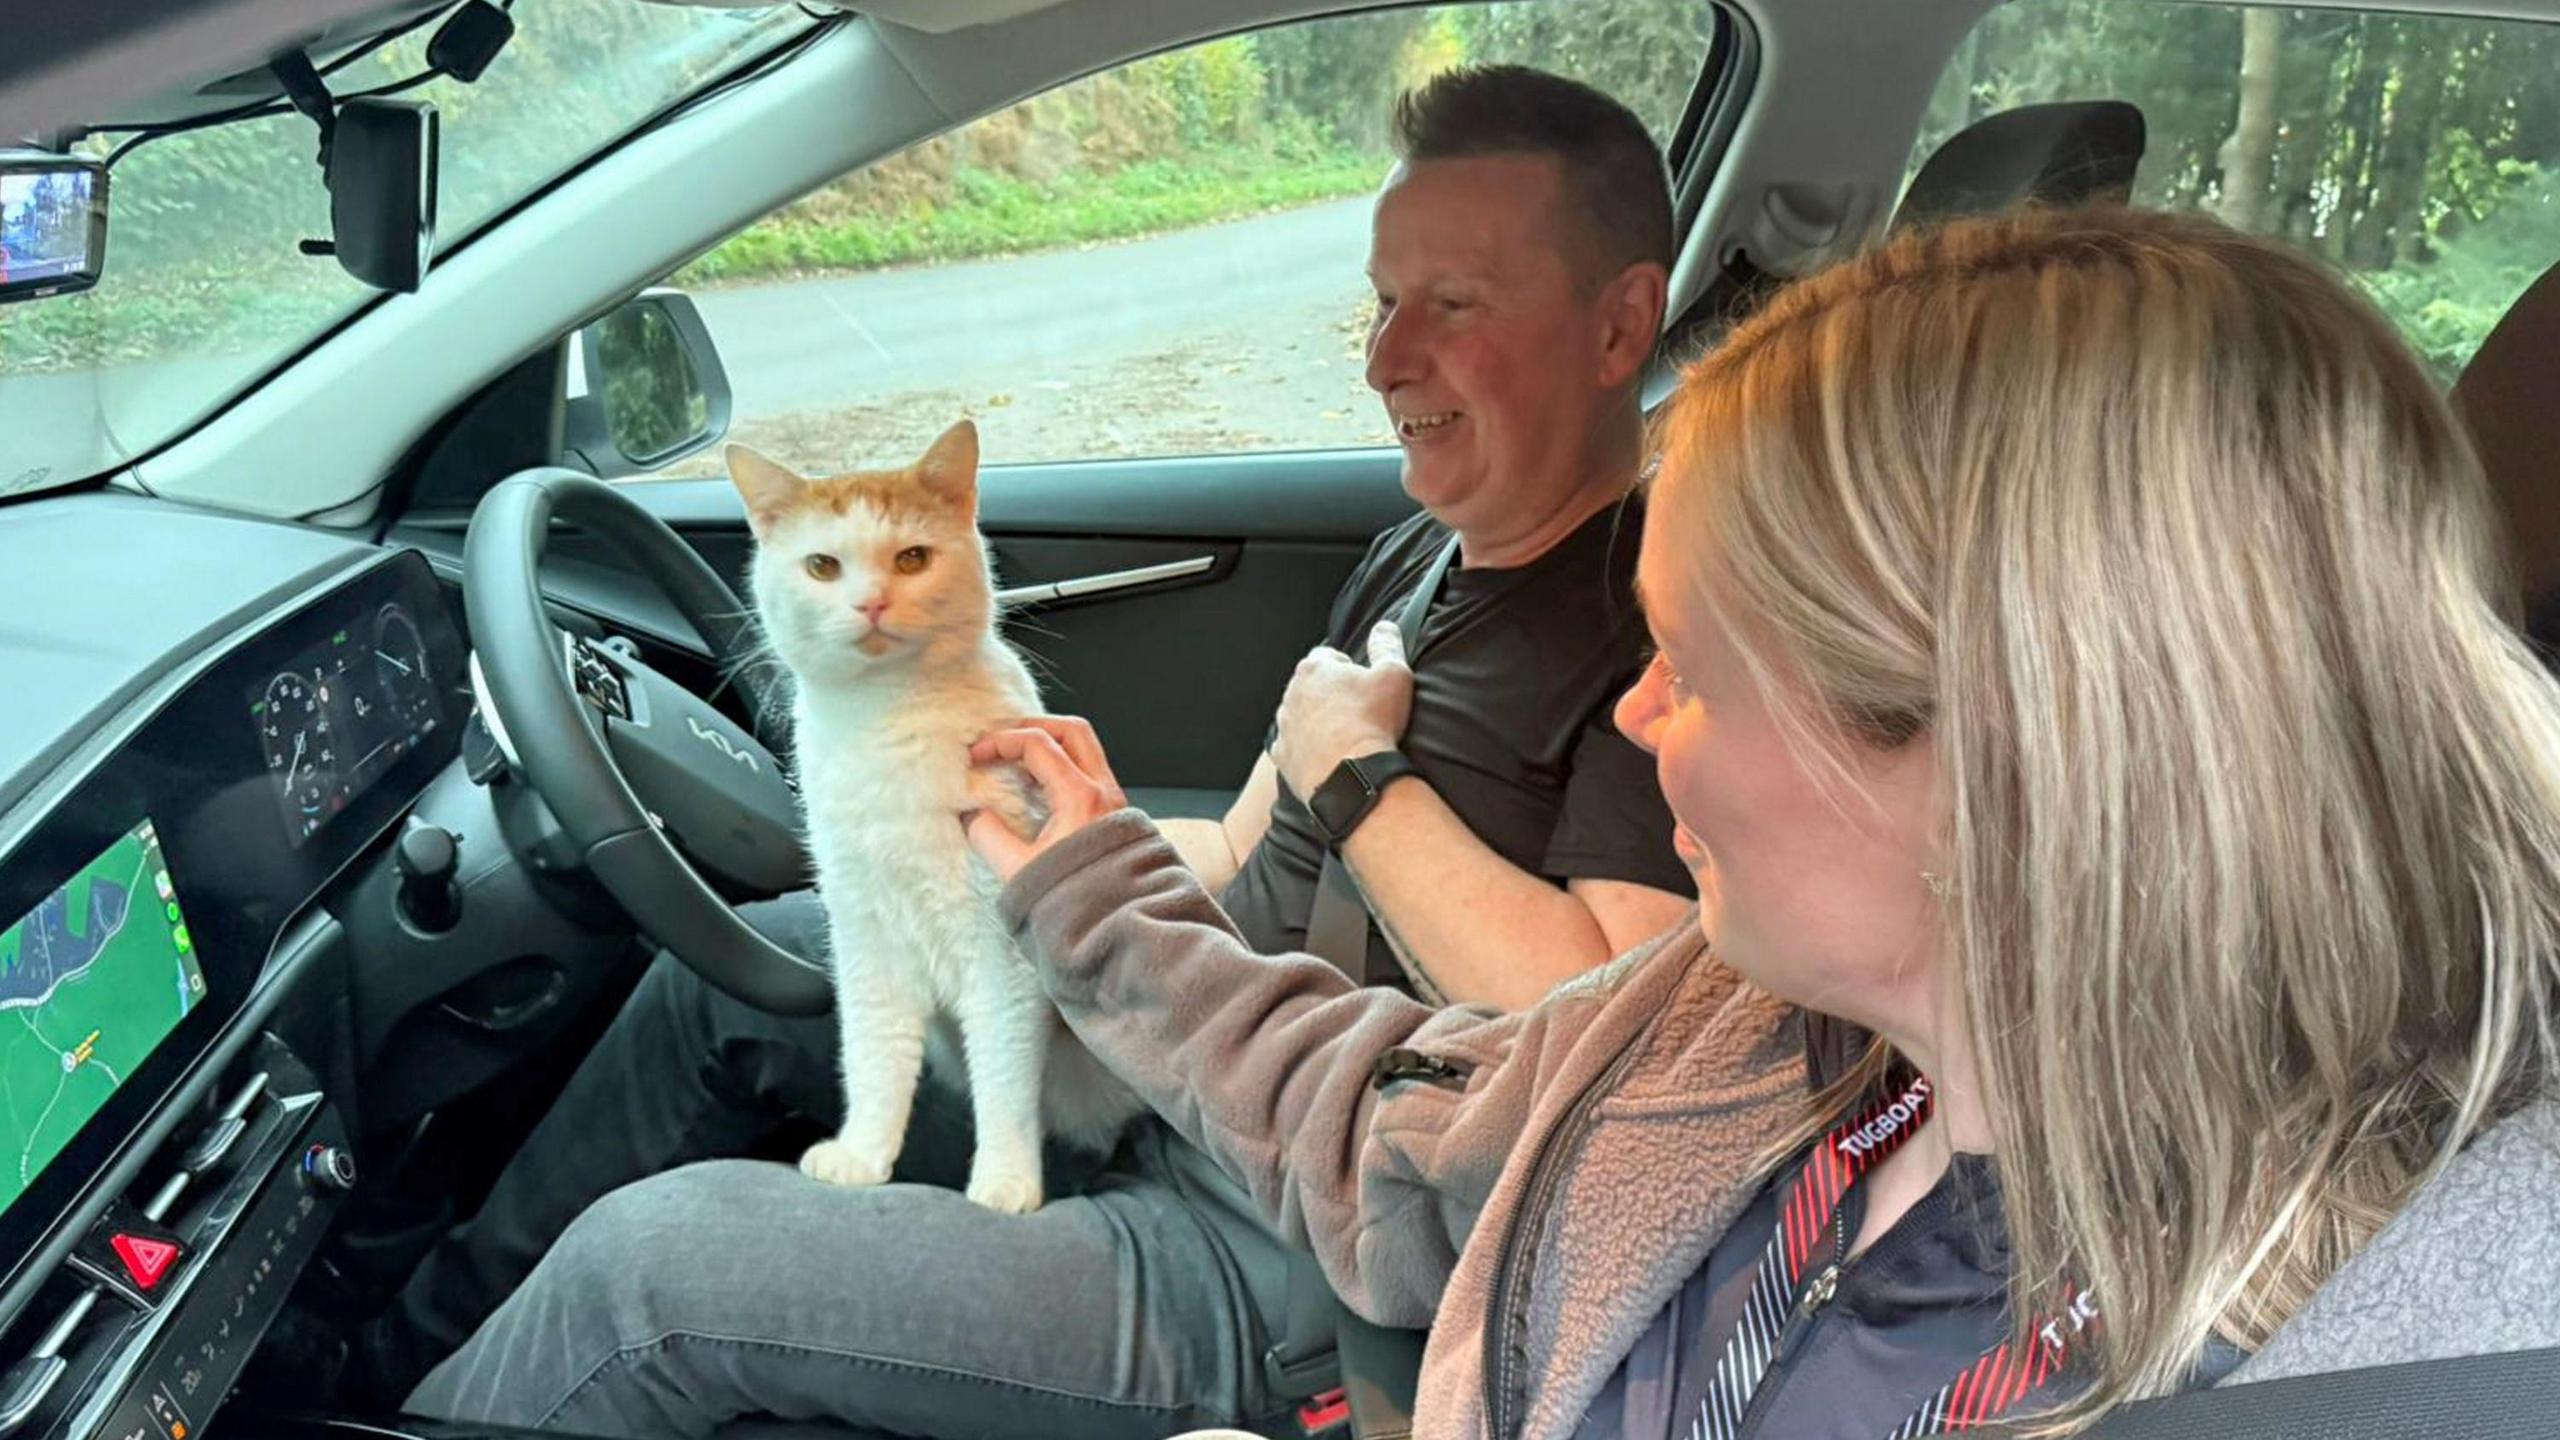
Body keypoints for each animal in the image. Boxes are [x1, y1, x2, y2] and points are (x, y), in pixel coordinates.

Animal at [727, 420, 1136, 1204]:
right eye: (822, 566)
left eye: (912, 558)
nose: (872, 603)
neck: (887, 721)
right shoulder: (866, 941)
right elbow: (873, 1057)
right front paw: (862, 1153)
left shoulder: (1002, 954)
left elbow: (1005, 1077)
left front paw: (1005, 1181)